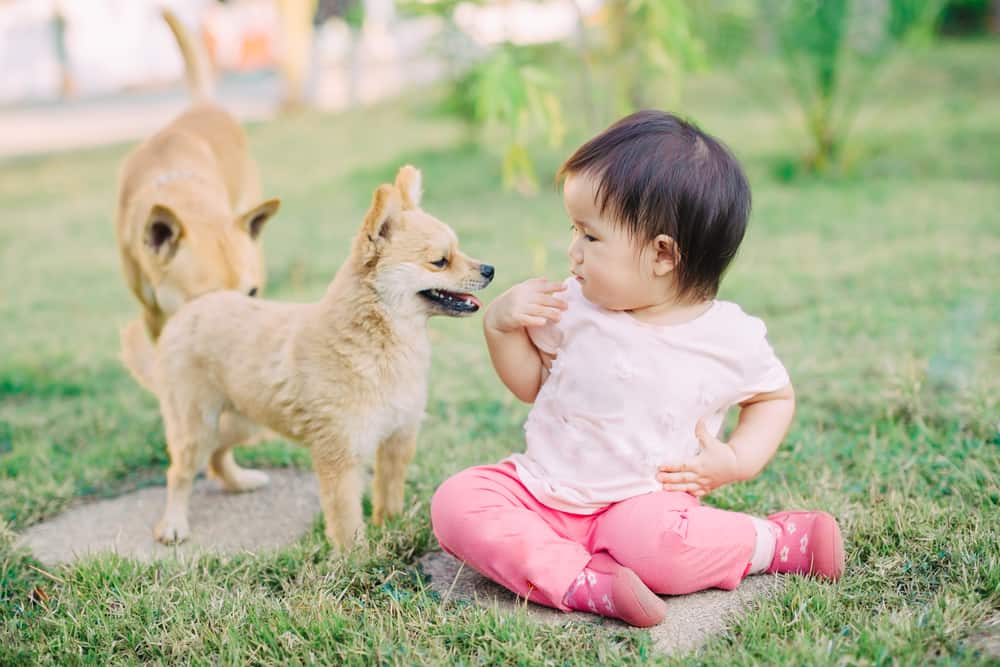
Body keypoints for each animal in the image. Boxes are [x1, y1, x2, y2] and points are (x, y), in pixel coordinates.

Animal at [154, 166, 494, 548]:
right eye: (440, 261)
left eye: (459, 250)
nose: (489, 270)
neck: (382, 345)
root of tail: (195, 305)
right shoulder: (341, 455)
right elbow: (346, 520)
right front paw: (357, 555)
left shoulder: (398, 438)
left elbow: (389, 492)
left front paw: (389, 527)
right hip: (198, 423)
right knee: (180, 471)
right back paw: (173, 525)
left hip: (243, 418)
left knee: (216, 453)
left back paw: (239, 482)